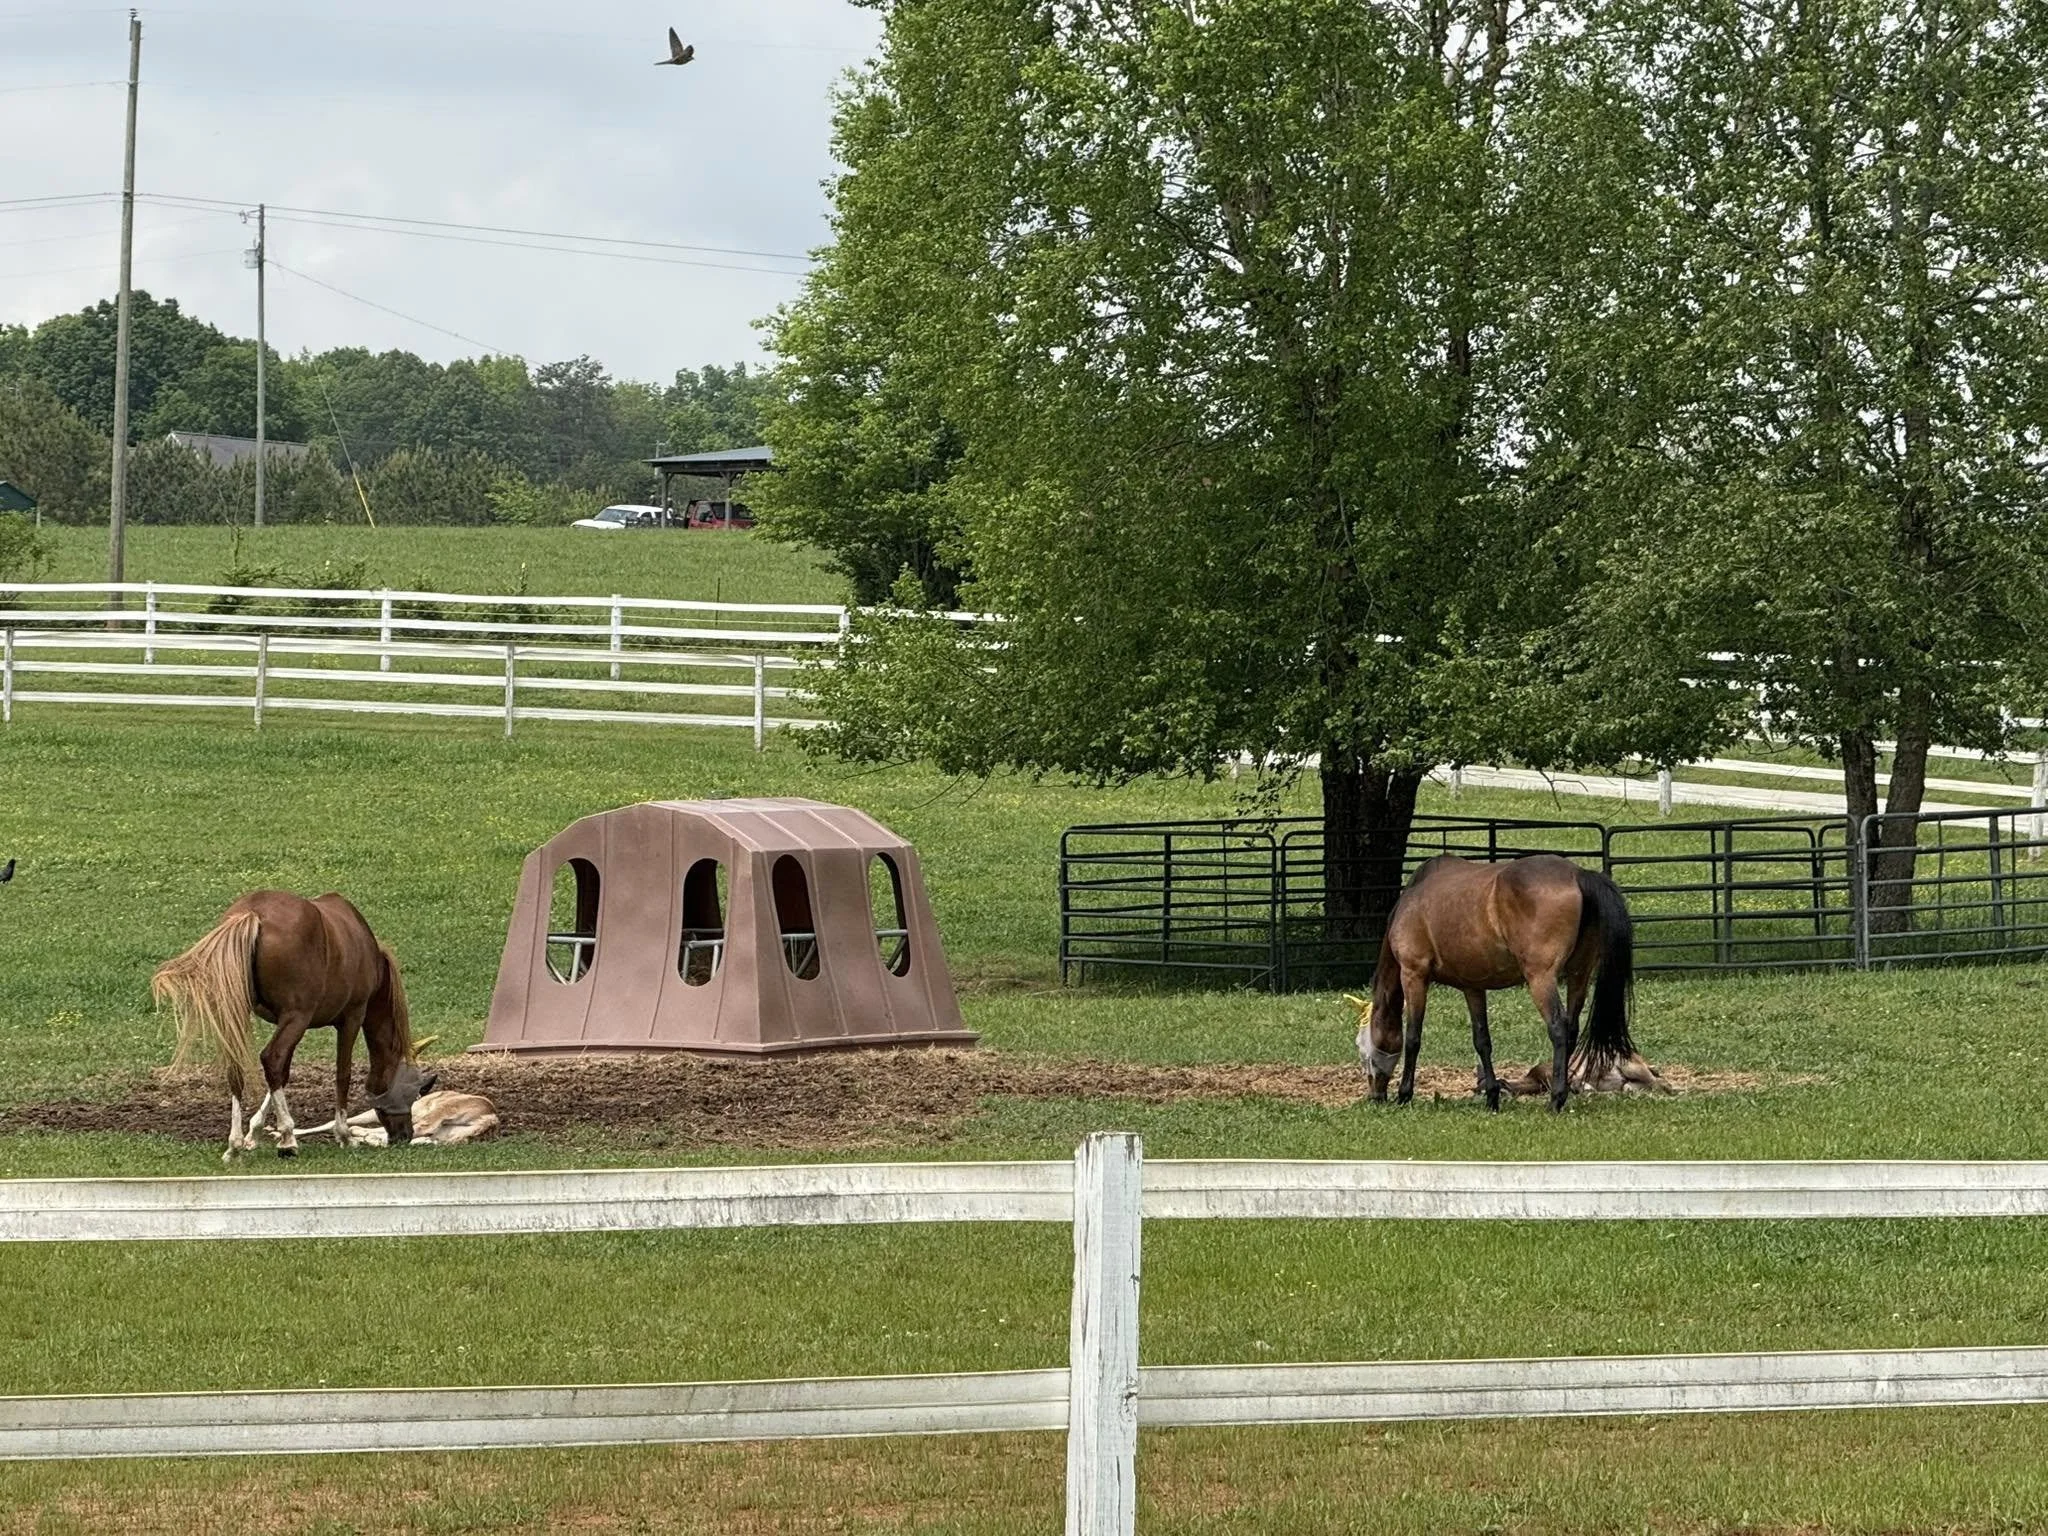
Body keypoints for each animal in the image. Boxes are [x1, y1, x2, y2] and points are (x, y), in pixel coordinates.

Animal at [152, 891, 434, 1161]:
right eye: (413, 1091)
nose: (405, 1135)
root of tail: (252, 913)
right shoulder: (350, 1019)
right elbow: (342, 1073)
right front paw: (343, 1135)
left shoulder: (290, 1023)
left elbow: (284, 1075)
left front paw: (253, 1133)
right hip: (297, 1016)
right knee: (272, 1058)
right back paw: (288, 1139)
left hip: (247, 1016)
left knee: (240, 1067)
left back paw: (235, 1144)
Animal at [1359, 854, 1635, 1113]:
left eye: (1362, 1049)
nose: (1376, 1096)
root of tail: (1577, 874)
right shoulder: (1473, 987)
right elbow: (1482, 1041)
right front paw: (1492, 1097)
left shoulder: (1413, 974)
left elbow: (1413, 1038)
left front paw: (1404, 1094)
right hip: (1579, 975)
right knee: (1571, 1030)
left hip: (1541, 978)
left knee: (1558, 1028)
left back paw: (1556, 1099)